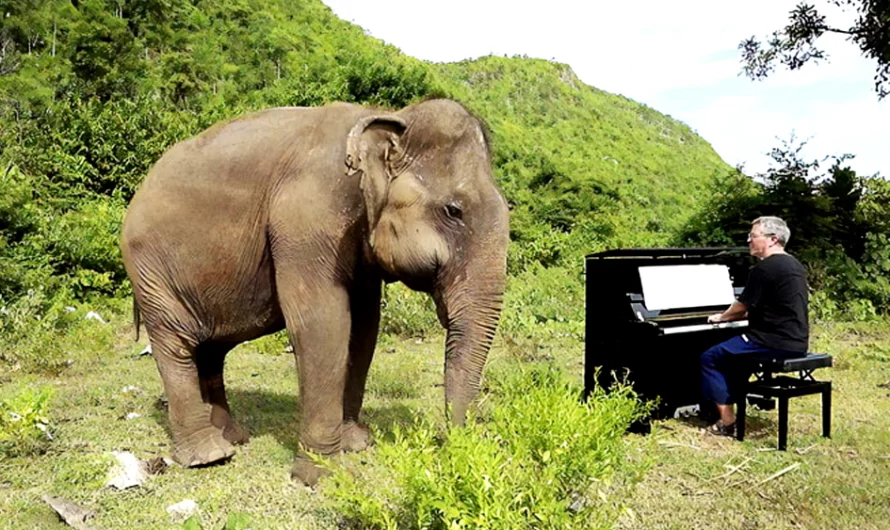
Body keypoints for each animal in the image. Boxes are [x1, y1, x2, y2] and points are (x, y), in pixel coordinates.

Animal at [119, 98, 506, 482]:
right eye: (453, 211)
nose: (450, 443)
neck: (386, 116)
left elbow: (364, 326)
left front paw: (355, 444)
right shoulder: (306, 220)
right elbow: (322, 323)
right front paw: (322, 473)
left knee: (211, 350)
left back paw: (232, 437)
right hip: (150, 271)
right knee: (176, 344)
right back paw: (210, 455)